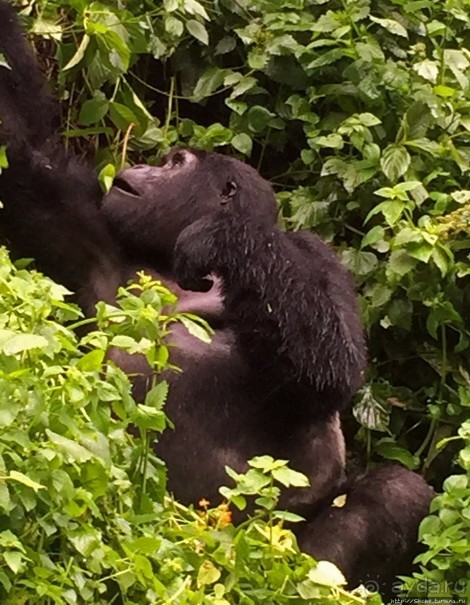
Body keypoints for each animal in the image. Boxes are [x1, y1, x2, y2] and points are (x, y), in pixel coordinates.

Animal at [0, 2, 434, 588]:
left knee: (395, 493)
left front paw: (226, 237)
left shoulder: (320, 258)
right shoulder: (83, 224)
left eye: (176, 164)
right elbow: (19, 145)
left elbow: (332, 365)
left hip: (264, 555)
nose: (142, 165)